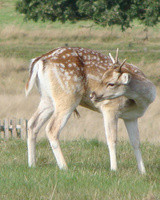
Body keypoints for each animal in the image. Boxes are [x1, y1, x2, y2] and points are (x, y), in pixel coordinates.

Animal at [25, 46, 156, 173]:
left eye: (111, 83)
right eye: (102, 78)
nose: (93, 94)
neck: (141, 101)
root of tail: (40, 60)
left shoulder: (131, 117)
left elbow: (136, 142)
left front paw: (142, 171)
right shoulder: (110, 108)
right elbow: (112, 139)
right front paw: (114, 169)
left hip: (47, 98)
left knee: (32, 123)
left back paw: (32, 164)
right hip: (67, 96)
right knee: (52, 128)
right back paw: (64, 167)